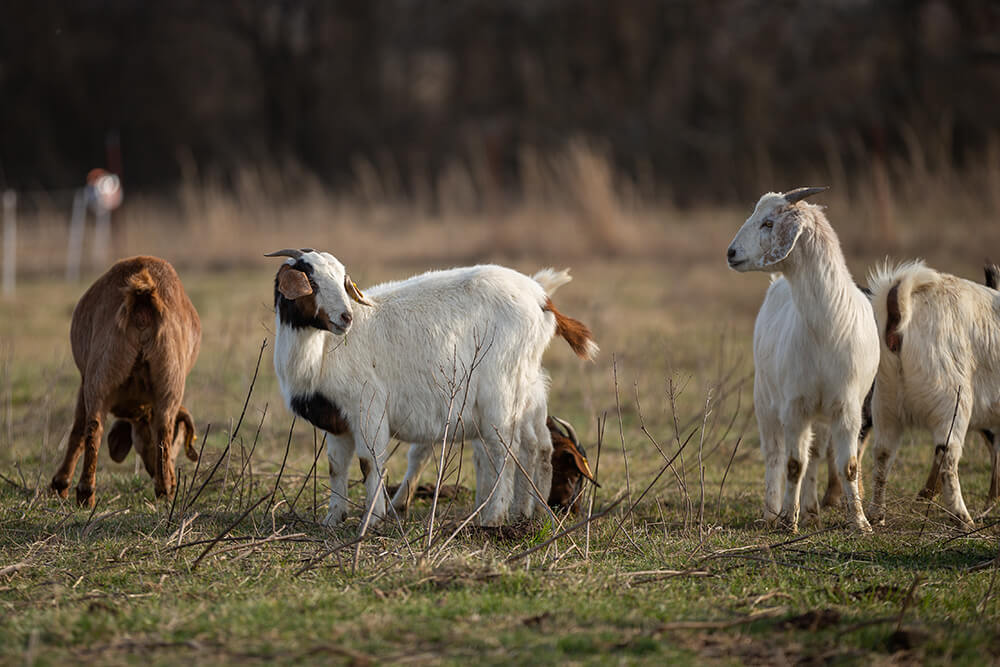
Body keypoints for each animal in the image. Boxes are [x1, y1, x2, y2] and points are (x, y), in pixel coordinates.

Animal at [50, 256, 201, 506]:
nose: (173, 478)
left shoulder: (84, 381)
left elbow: (77, 430)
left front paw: (60, 485)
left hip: (100, 374)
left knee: (93, 427)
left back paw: (86, 493)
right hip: (168, 380)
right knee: (161, 428)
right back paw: (162, 490)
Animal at [266, 248, 596, 528]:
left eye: (342, 281)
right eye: (311, 281)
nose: (346, 317)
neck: (322, 351)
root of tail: (541, 298)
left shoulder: (368, 407)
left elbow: (370, 462)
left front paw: (372, 520)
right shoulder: (335, 419)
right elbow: (336, 467)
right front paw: (333, 519)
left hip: (500, 391)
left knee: (505, 448)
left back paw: (494, 517)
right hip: (525, 389)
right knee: (535, 444)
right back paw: (526, 513)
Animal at [728, 187, 876, 532]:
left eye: (768, 222)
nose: (731, 253)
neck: (827, 326)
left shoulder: (848, 407)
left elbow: (847, 465)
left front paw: (860, 523)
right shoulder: (794, 406)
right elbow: (793, 463)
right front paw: (787, 521)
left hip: (821, 414)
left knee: (817, 453)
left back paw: (810, 510)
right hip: (765, 398)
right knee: (774, 454)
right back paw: (772, 511)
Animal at [868, 260, 1000, 528]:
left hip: (885, 401)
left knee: (883, 453)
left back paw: (877, 515)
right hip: (953, 401)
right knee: (947, 454)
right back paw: (962, 518)